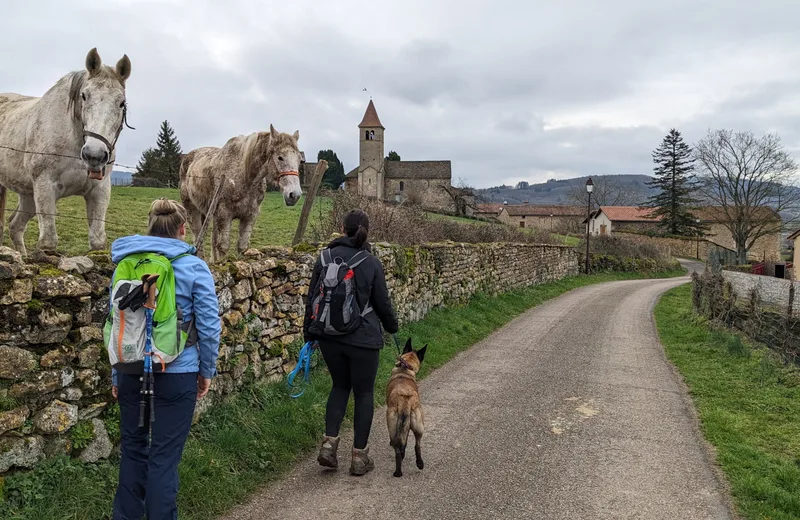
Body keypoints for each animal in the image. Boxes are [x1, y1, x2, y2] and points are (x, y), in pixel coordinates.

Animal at [0, 47, 131, 255]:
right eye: (84, 96)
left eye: (121, 103)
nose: (94, 155)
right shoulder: (45, 187)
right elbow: (48, 242)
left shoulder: (99, 190)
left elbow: (97, 241)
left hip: (28, 195)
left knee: (15, 226)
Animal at [386, 340, 428, 478]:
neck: (404, 368)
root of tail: (405, 401)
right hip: (418, 425)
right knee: (416, 445)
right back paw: (419, 464)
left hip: (393, 427)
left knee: (398, 448)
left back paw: (398, 472)